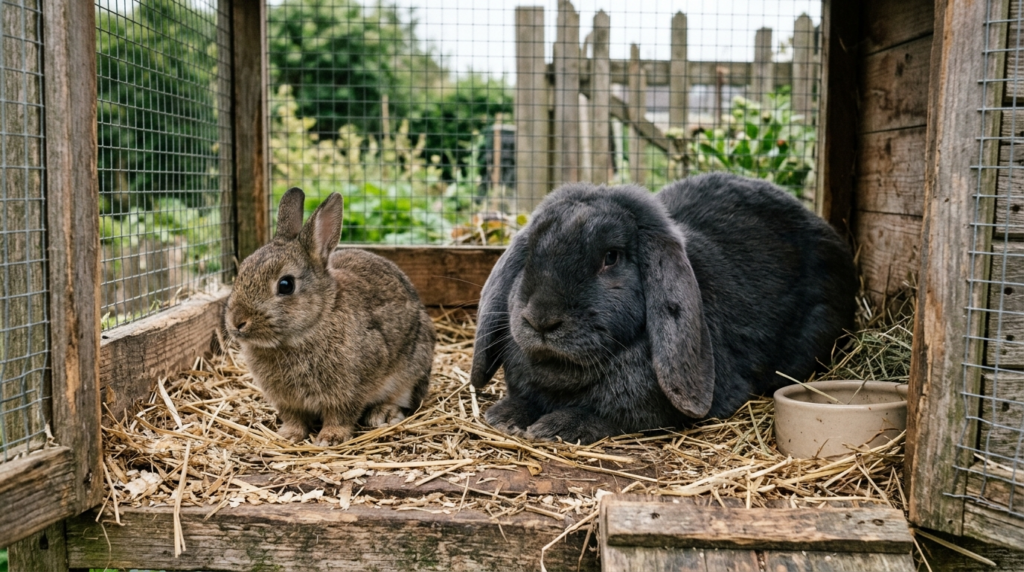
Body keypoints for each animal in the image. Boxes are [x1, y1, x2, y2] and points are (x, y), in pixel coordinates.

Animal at [224, 188, 435, 446]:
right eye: (242, 269)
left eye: (286, 285)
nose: (237, 322)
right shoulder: (287, 401)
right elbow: (293, 418)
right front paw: (289, 435)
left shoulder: (349, 391)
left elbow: (341, 415)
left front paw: (330, 438)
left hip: (412, 370)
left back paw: (382, 413)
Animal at [470, 172, 857, 445]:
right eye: (530, 253)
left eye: (611, 257)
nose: (541, 319)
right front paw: (504, 415)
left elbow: (610, 417)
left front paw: (557, 427)